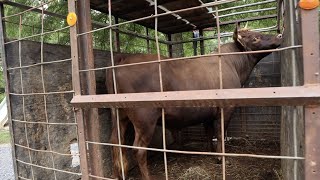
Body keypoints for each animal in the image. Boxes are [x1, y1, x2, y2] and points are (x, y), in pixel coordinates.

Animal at [106, 23, 282, 179]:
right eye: (255, 38)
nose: (279, 35)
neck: (234, 65)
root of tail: (122, 61)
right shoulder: (226, 108)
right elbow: (220, 133)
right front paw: (221, 158)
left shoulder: (209, 113)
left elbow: (209, 132)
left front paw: (210, 152)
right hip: (145, 118)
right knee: (138, 149)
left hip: (119, 115)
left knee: (115, 142)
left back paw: (117, 174)